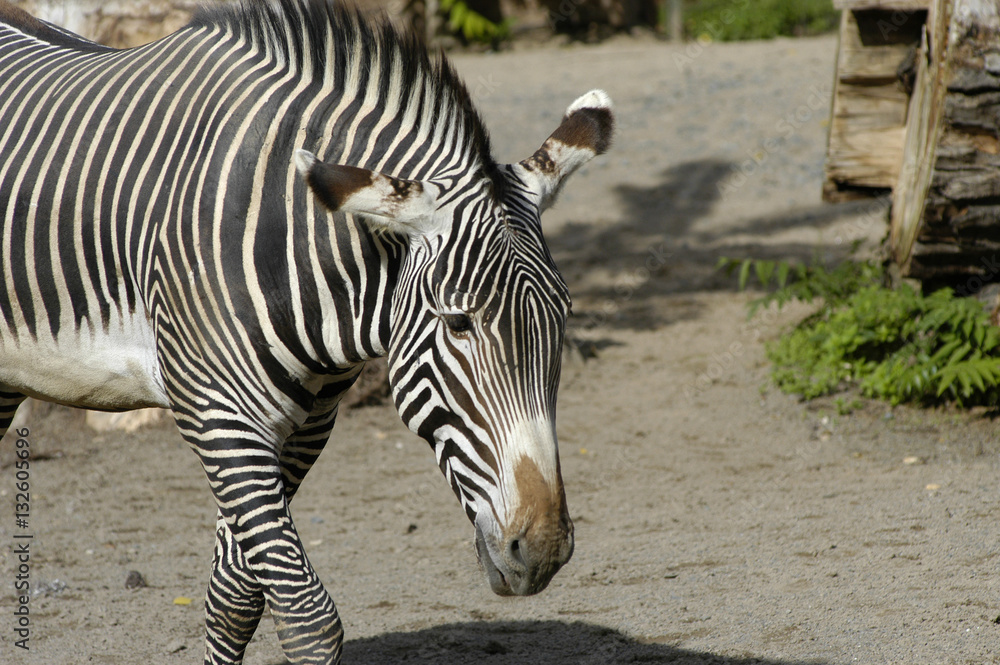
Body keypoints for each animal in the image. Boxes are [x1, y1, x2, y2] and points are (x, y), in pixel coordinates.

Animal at [0, 0, 613, 662]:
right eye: (458, 322)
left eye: (563, 314)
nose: (544, 552)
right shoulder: (219, 417)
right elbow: (306, 616)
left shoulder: (306, 424)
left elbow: (235, 598)